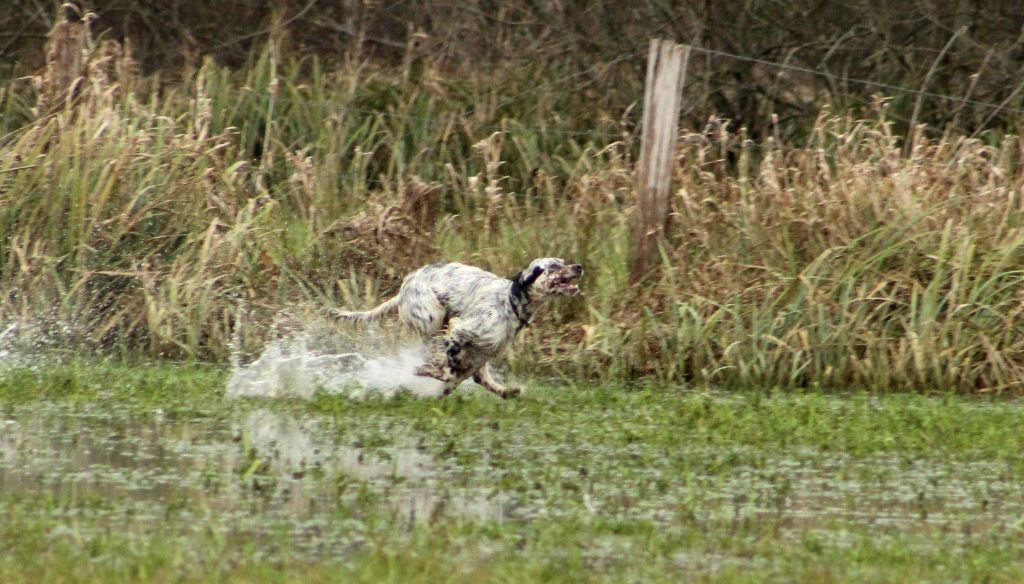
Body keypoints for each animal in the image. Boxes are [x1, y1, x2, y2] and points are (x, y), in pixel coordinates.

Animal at [331, 258, 581, 397]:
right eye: (553, 266)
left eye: (563, 261)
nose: (578, 266)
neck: (510, 302)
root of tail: (404, 287)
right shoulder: (459, 330)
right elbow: (447, 370)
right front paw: (427, 371)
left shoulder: (480, 356)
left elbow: (476, 379)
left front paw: (507, 391)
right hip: (433, 316)